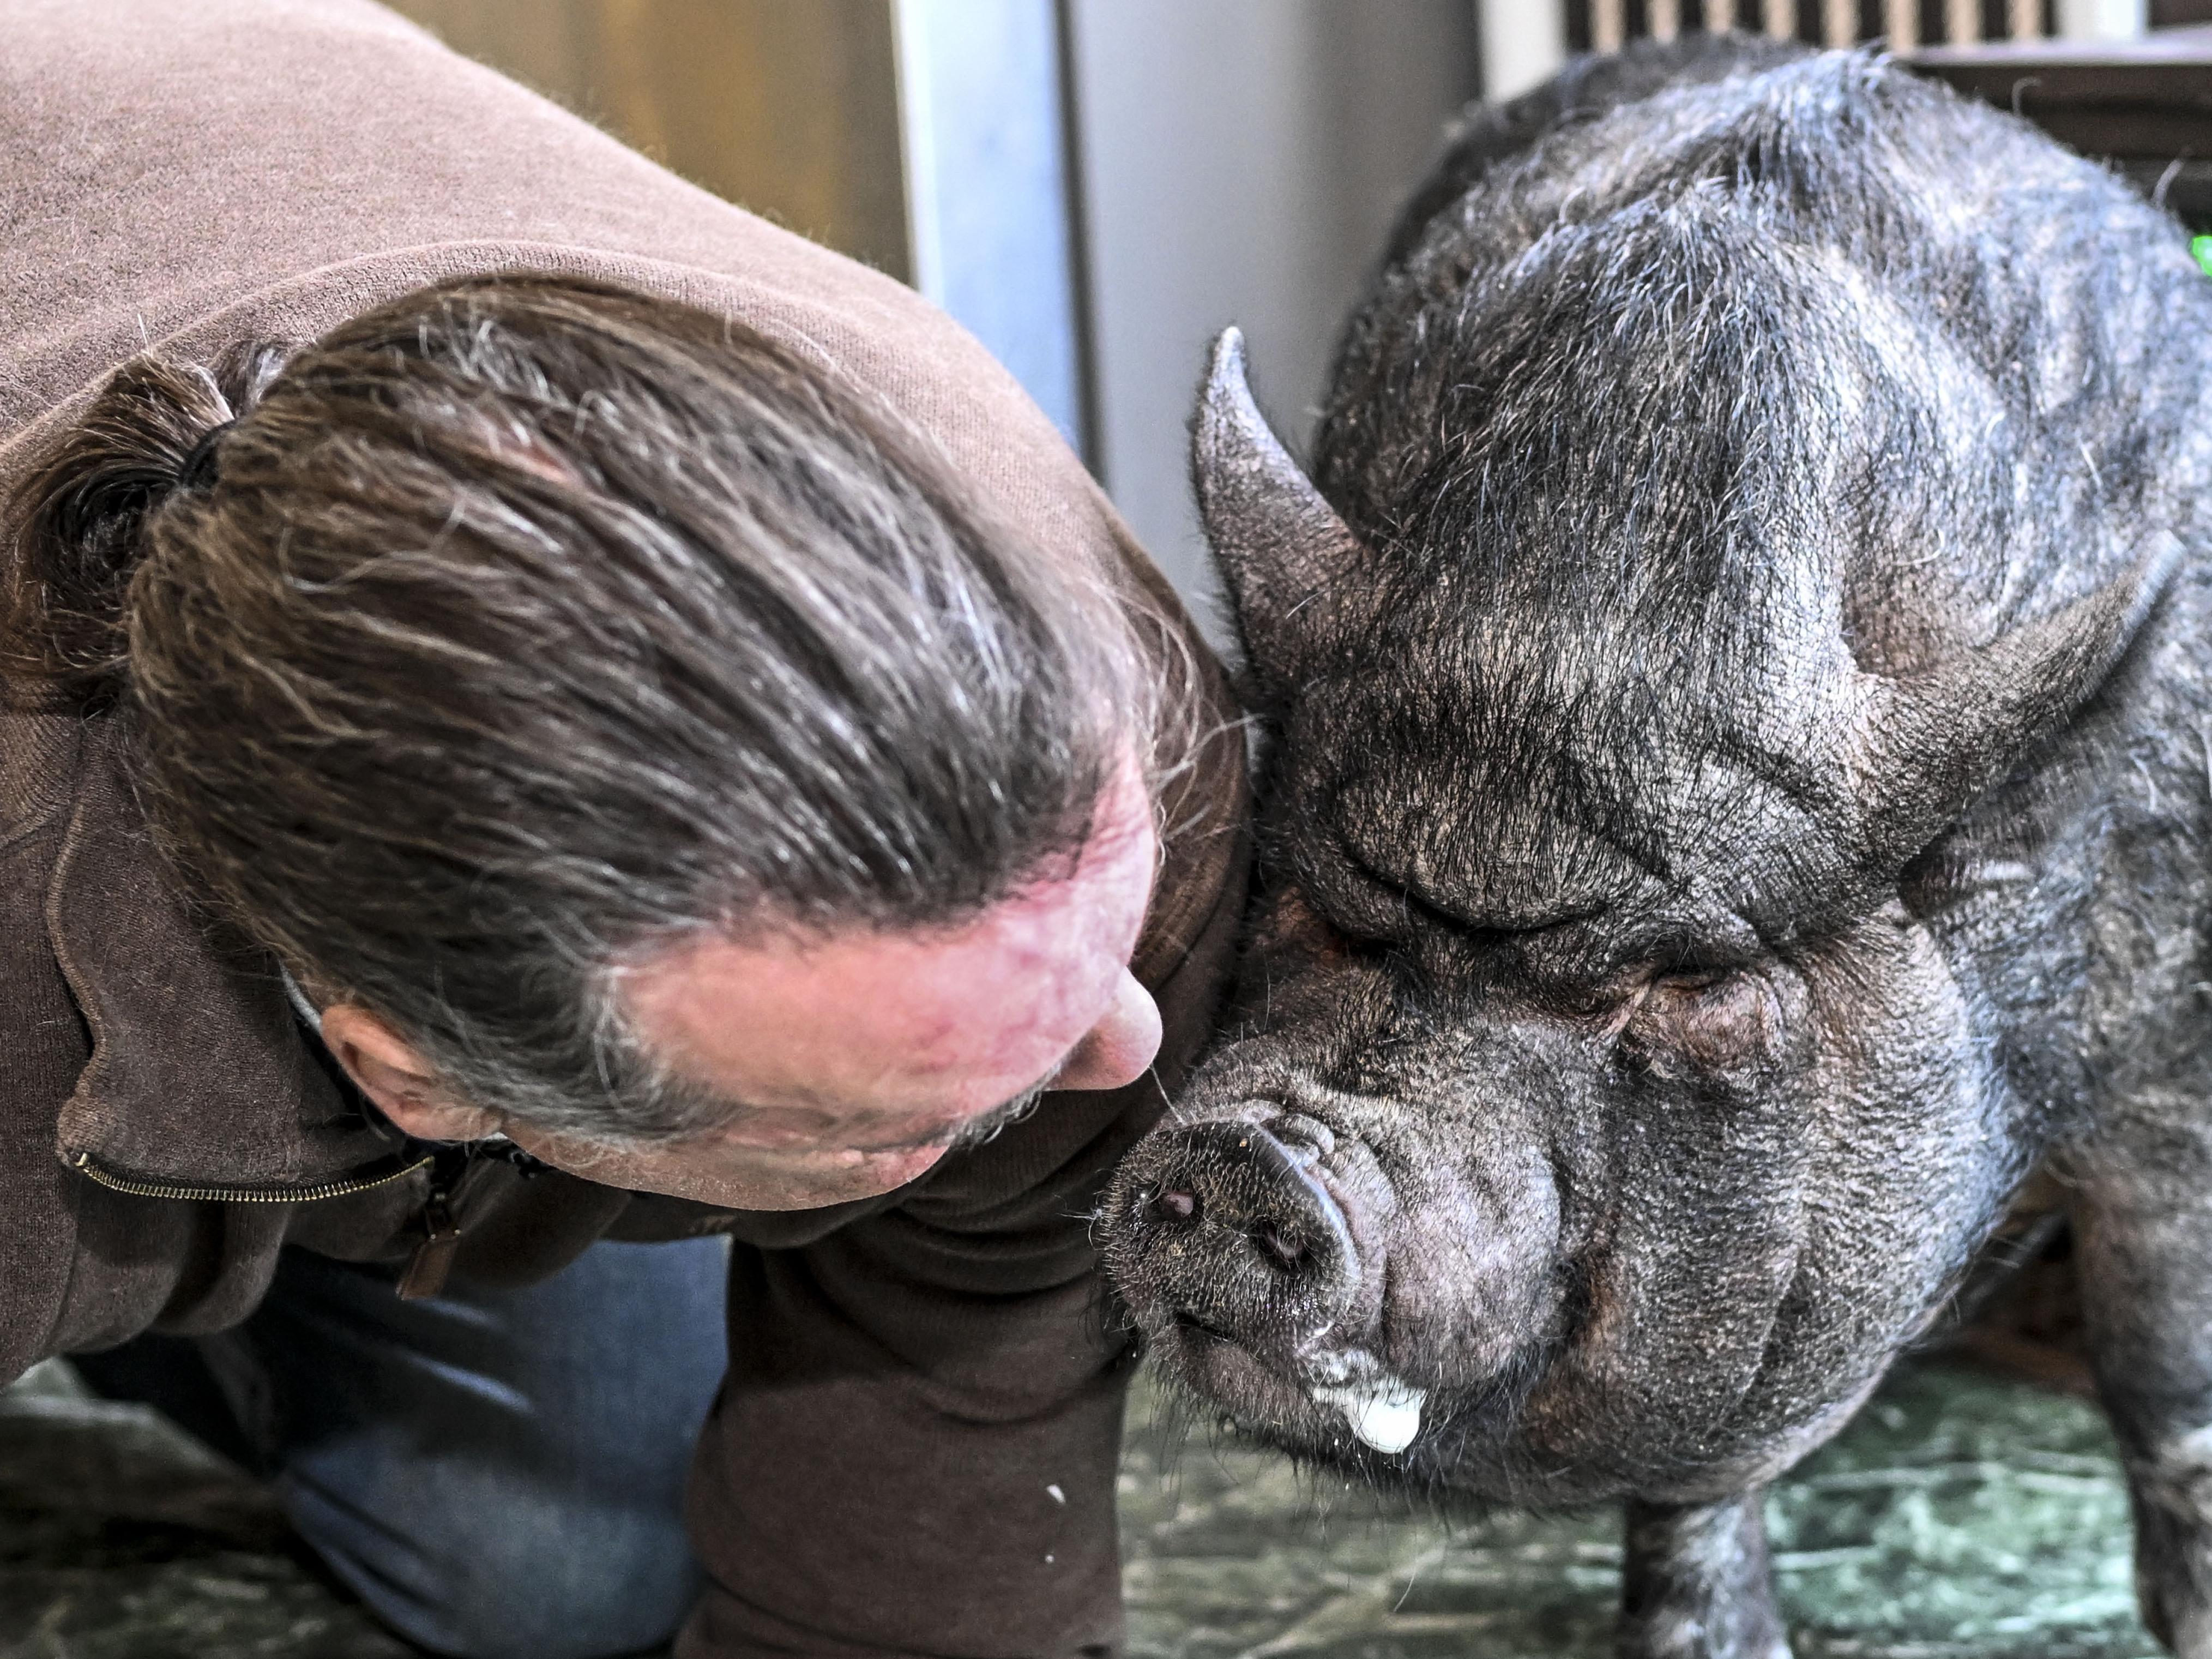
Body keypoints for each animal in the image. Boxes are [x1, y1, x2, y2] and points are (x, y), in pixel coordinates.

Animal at [1101, 34, 2212, 1659]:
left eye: (1689, 985)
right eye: (1314, 898)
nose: (1257, 1153)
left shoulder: (2174, 1060)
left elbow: (2165, 1371)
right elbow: (1696, 1481)